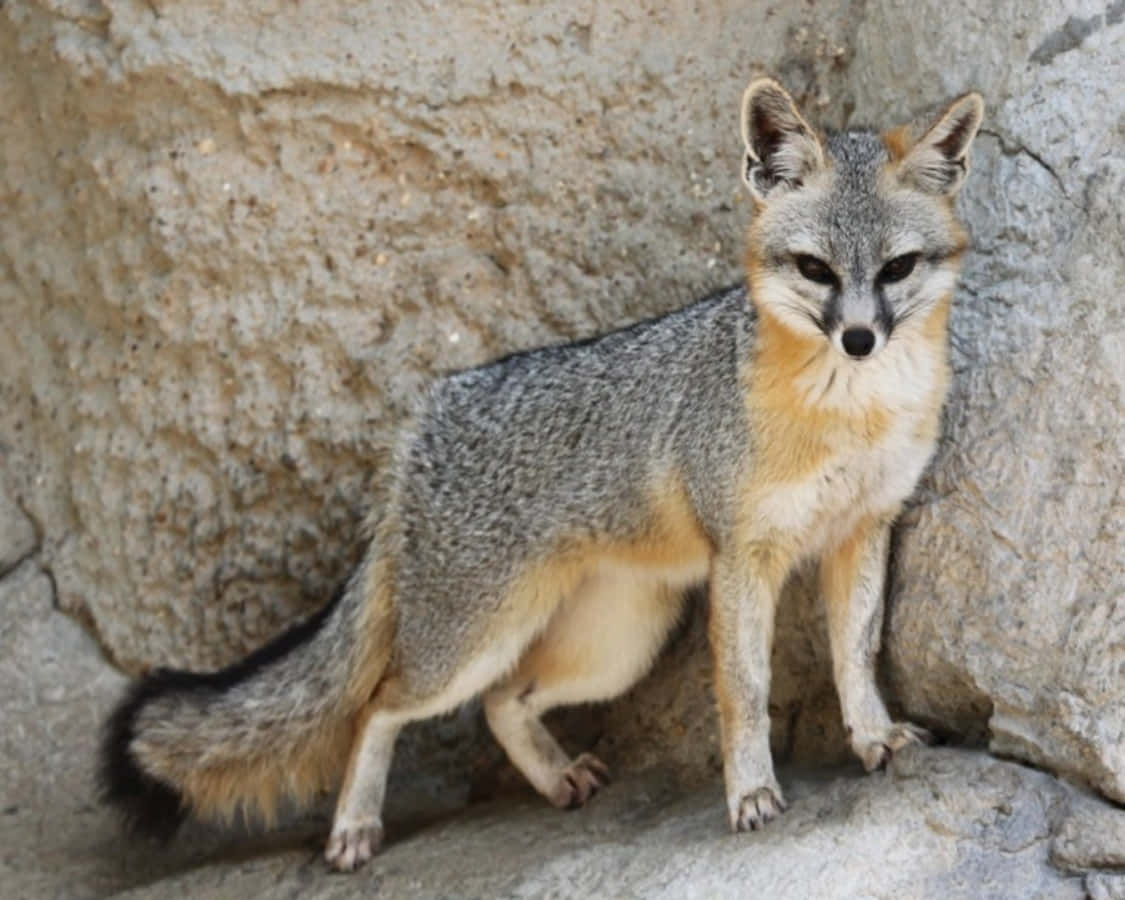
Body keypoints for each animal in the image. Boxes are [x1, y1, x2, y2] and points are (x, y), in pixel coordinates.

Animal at [100, 78, 984, 872]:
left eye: (896, 268)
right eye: (814, 269)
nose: (859, 339)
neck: (848, 414)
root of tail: (423, 424)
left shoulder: (864, 529)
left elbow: (854, 656)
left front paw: (872, 737)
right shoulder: (745, 558)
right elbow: (744, 691)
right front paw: (750, 794)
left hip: (615, 644)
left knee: (501, 701)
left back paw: (553, 776)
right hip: (472, 641)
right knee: (379, 704)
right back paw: (352, 828)